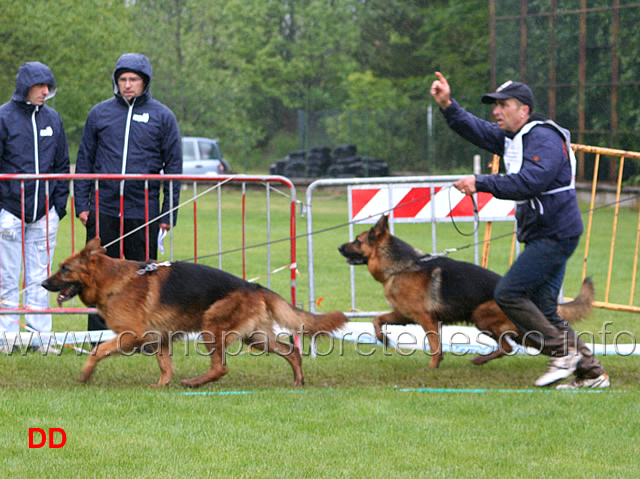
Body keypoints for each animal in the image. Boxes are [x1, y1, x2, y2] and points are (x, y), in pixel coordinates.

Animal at [43, 238, 350, 388]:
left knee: (220, 367)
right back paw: (298, 380)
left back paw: (193, 383)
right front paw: (162, 385)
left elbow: (98, 351)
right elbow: (165, 366)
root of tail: (253, 286)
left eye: (64, 269)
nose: (43, 284)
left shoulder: (134, 336)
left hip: (211, 327)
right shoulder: (159, 339)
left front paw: (85, 374)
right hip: (256, 337)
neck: (112, 279)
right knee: (291, 351)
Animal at [338, 216, 592, 370]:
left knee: (509, 346)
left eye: (357, 241)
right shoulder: (404, 315)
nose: (339, 247)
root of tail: (527, 297)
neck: (401, 266)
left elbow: (434, 345)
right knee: (516, 345)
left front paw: (433, 367)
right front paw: (383, 339)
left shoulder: (426, 319)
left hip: (481, 316)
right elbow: (376, 320)